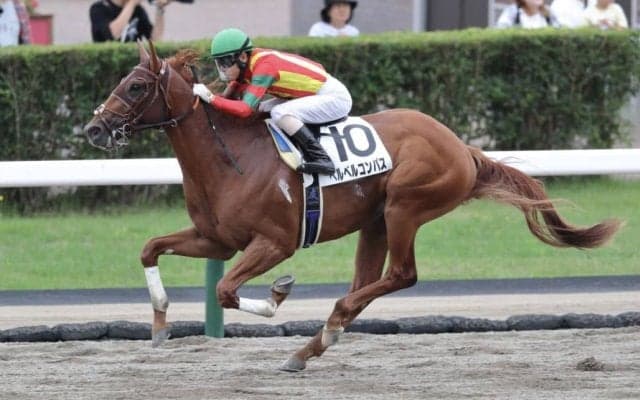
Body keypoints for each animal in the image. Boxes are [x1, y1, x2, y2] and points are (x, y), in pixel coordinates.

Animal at [84, 41, 621, 372]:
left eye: (135, 86)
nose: (92, 128)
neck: (230, 156)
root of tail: (463, 147)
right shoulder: (216, 239)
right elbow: (151, 248)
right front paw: (159, 325)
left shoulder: (275, 242)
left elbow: (226, 291)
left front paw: (277, 294)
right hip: (376, 220)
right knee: (367, 282)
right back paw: (315, 344)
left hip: (406, 205)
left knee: (401, 275)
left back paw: (325, 330)